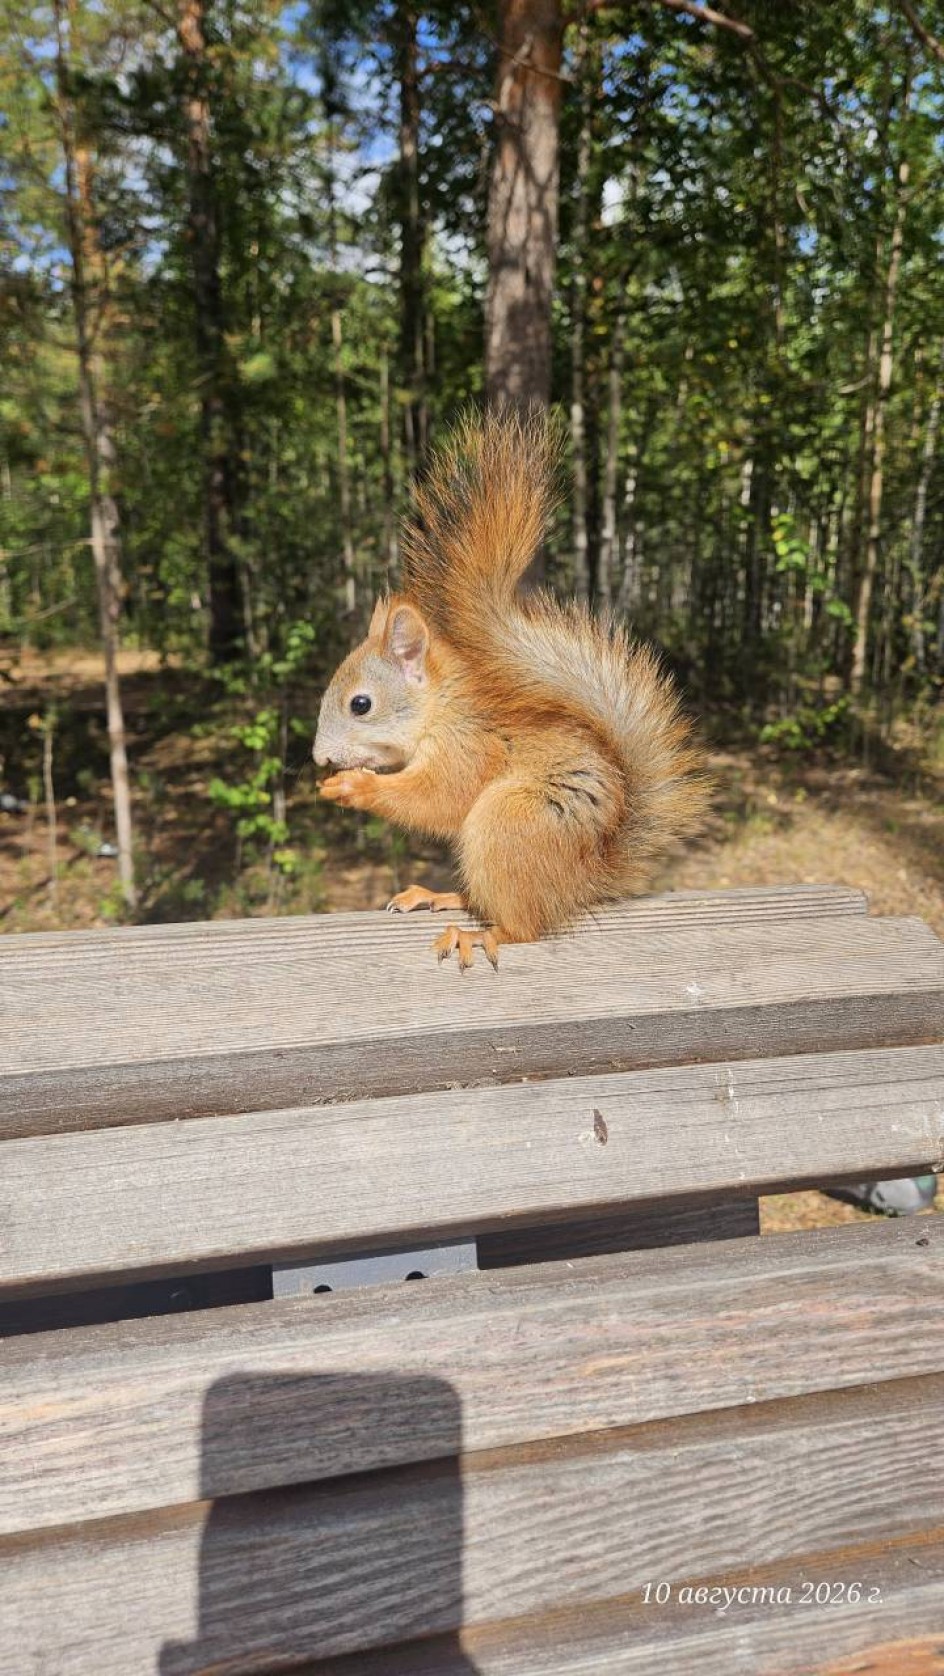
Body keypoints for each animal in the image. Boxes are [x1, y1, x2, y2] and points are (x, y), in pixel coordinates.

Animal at [314, 409, 710, 969]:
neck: (441, 710)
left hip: (509, 823)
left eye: (361, 704)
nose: (320, 759)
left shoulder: (469, 748)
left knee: (526, 926)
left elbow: (438, 798)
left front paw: (356, 786)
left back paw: (478, 934)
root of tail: (581, 883)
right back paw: (440, 896)